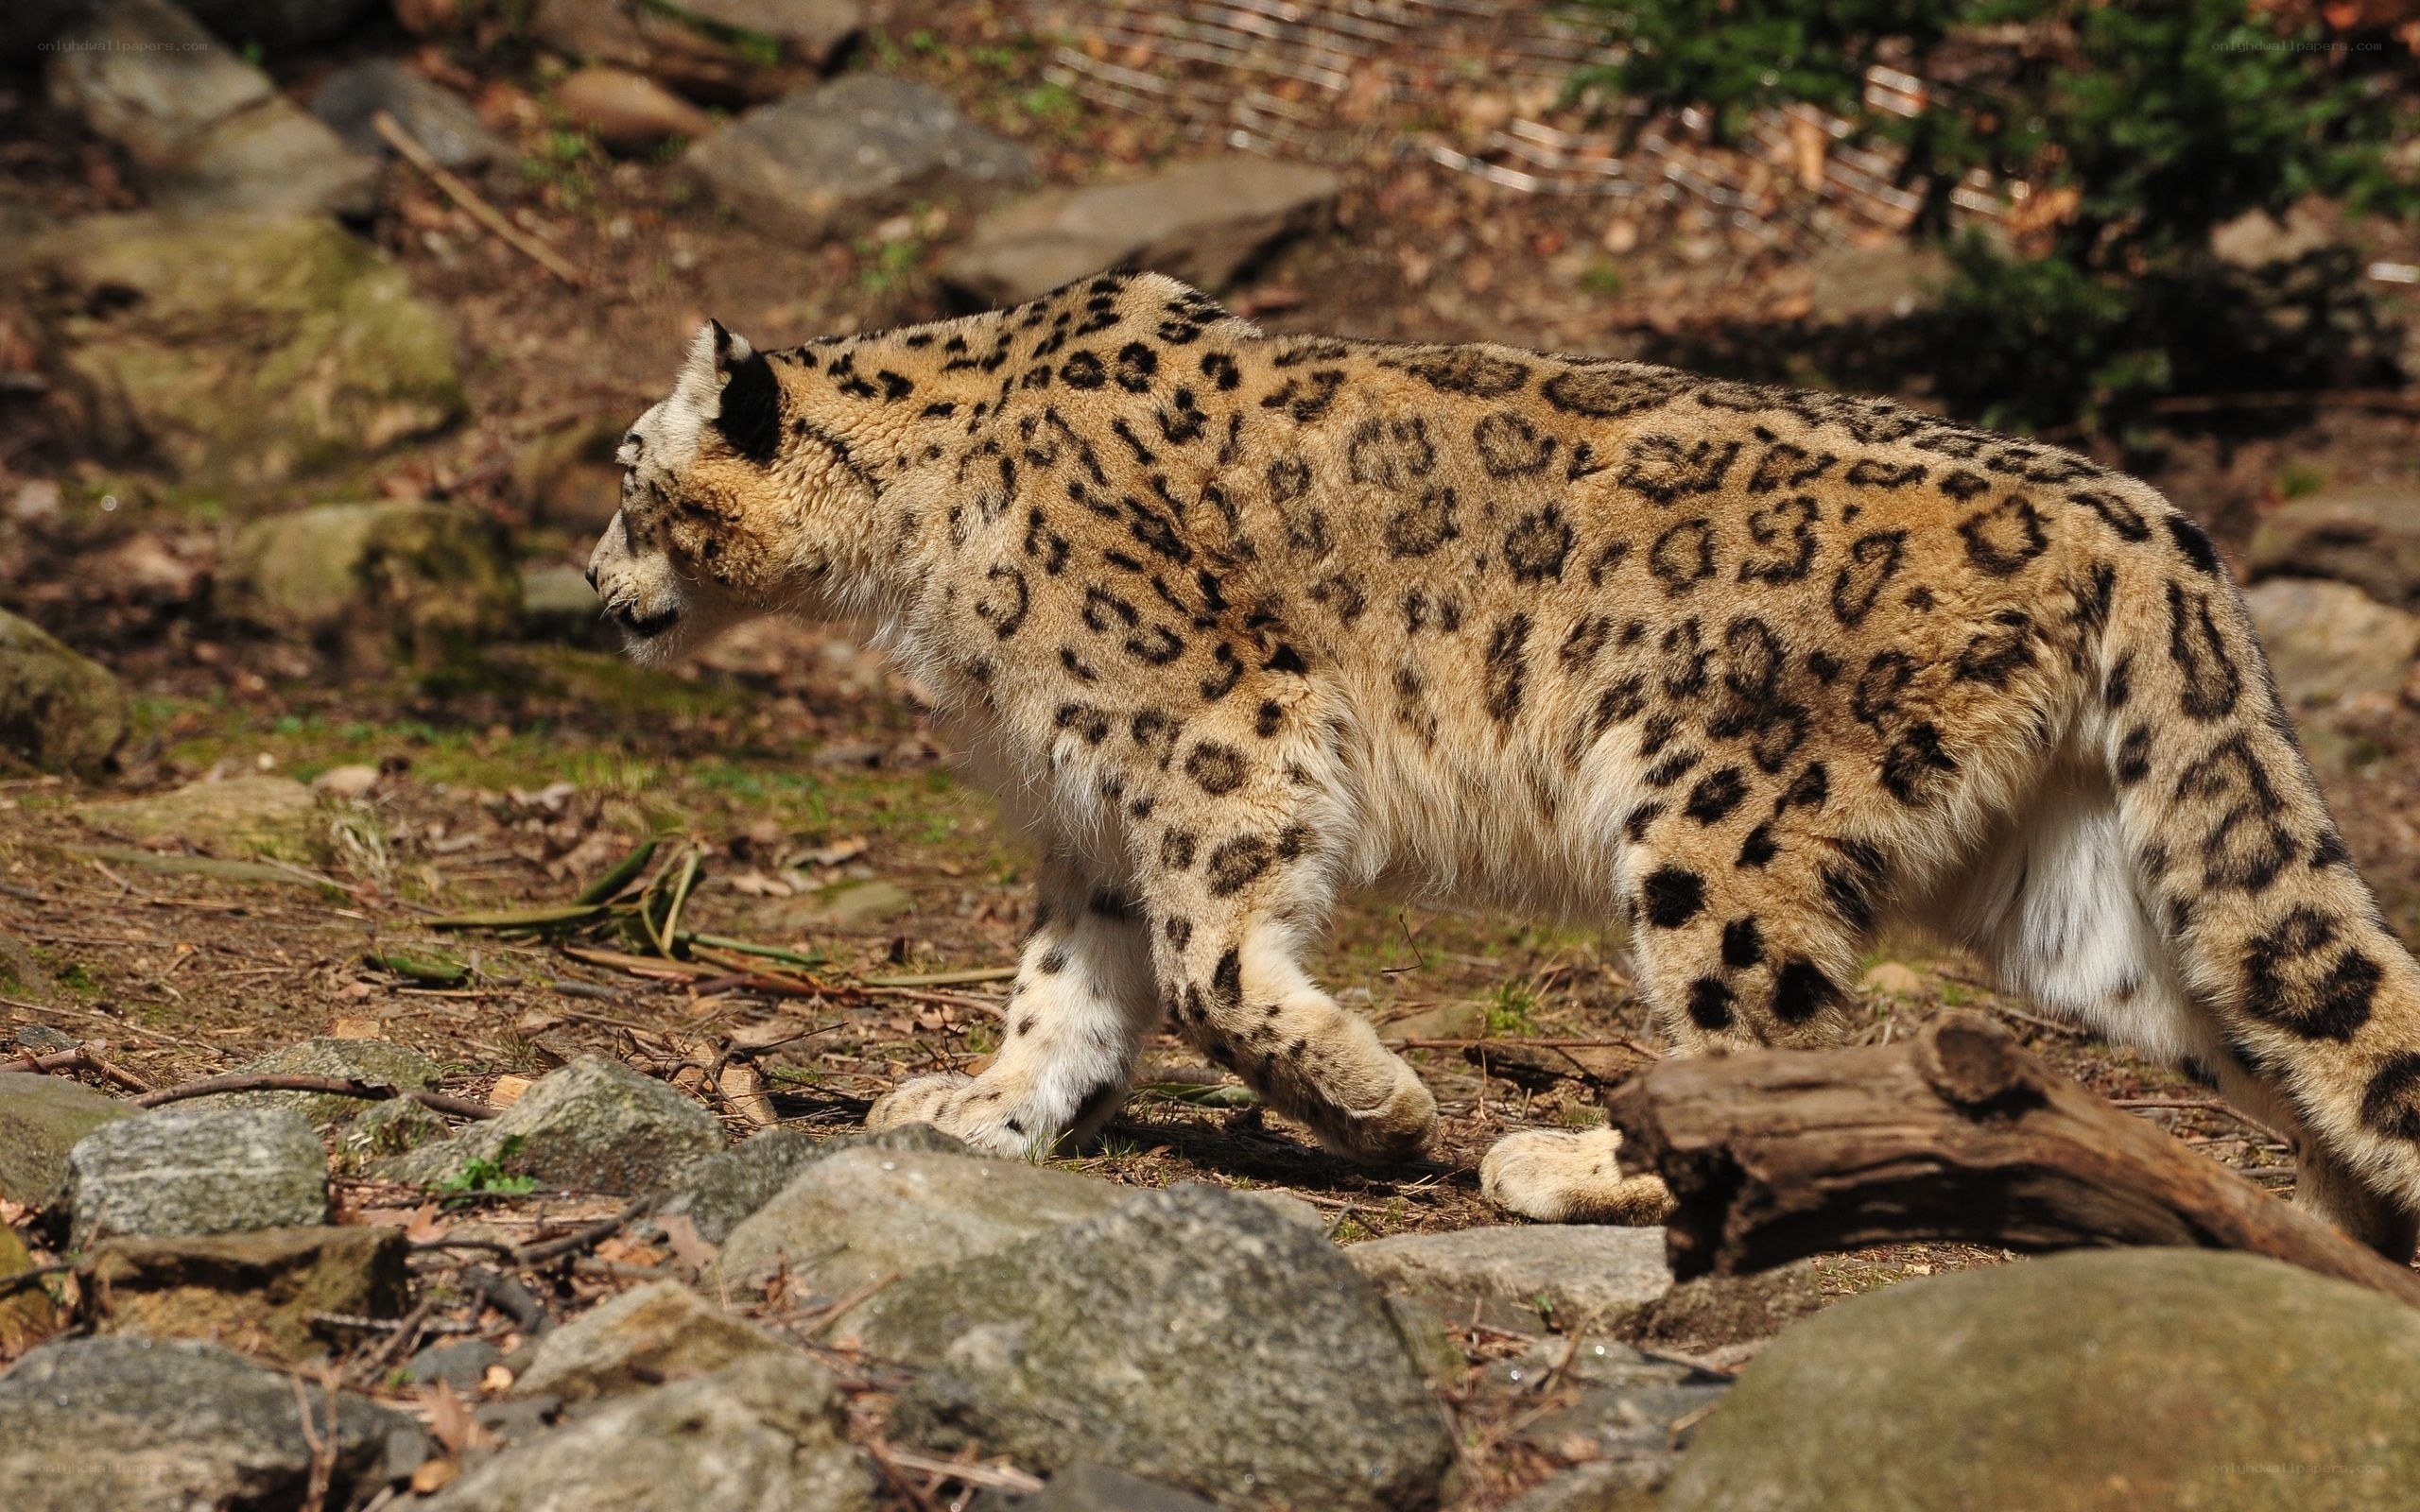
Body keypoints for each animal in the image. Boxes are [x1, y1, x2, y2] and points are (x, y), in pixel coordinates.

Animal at [587, 270, 2420, 1257]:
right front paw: (987, 1108)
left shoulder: (1209, 733)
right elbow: (1074, 978)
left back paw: (1567, 1160)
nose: (595, 587)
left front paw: (1372, 1103)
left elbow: (1207, 965)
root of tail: (2135, 509)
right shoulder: (1088, 800)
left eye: (624, 474)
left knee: (1748, 1032)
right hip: (2078, 891)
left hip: (1723, 815)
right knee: (2282, 1012)